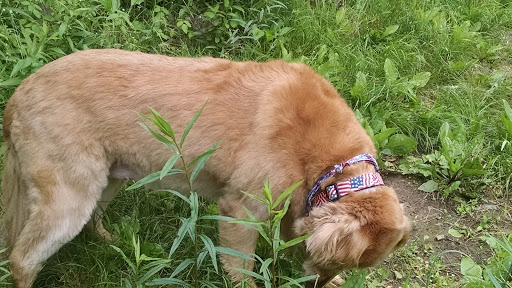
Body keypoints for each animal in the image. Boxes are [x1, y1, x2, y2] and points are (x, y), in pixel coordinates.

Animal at [0, 48, 410, 286]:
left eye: (344, 267)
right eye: (331, 260)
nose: (317, 286)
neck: (330, 160)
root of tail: (17, 96)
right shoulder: (239, 212)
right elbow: (242, 268)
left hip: (107, 178)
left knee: (91, 222)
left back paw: (111, 241)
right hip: (68, 197)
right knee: (22, 259)